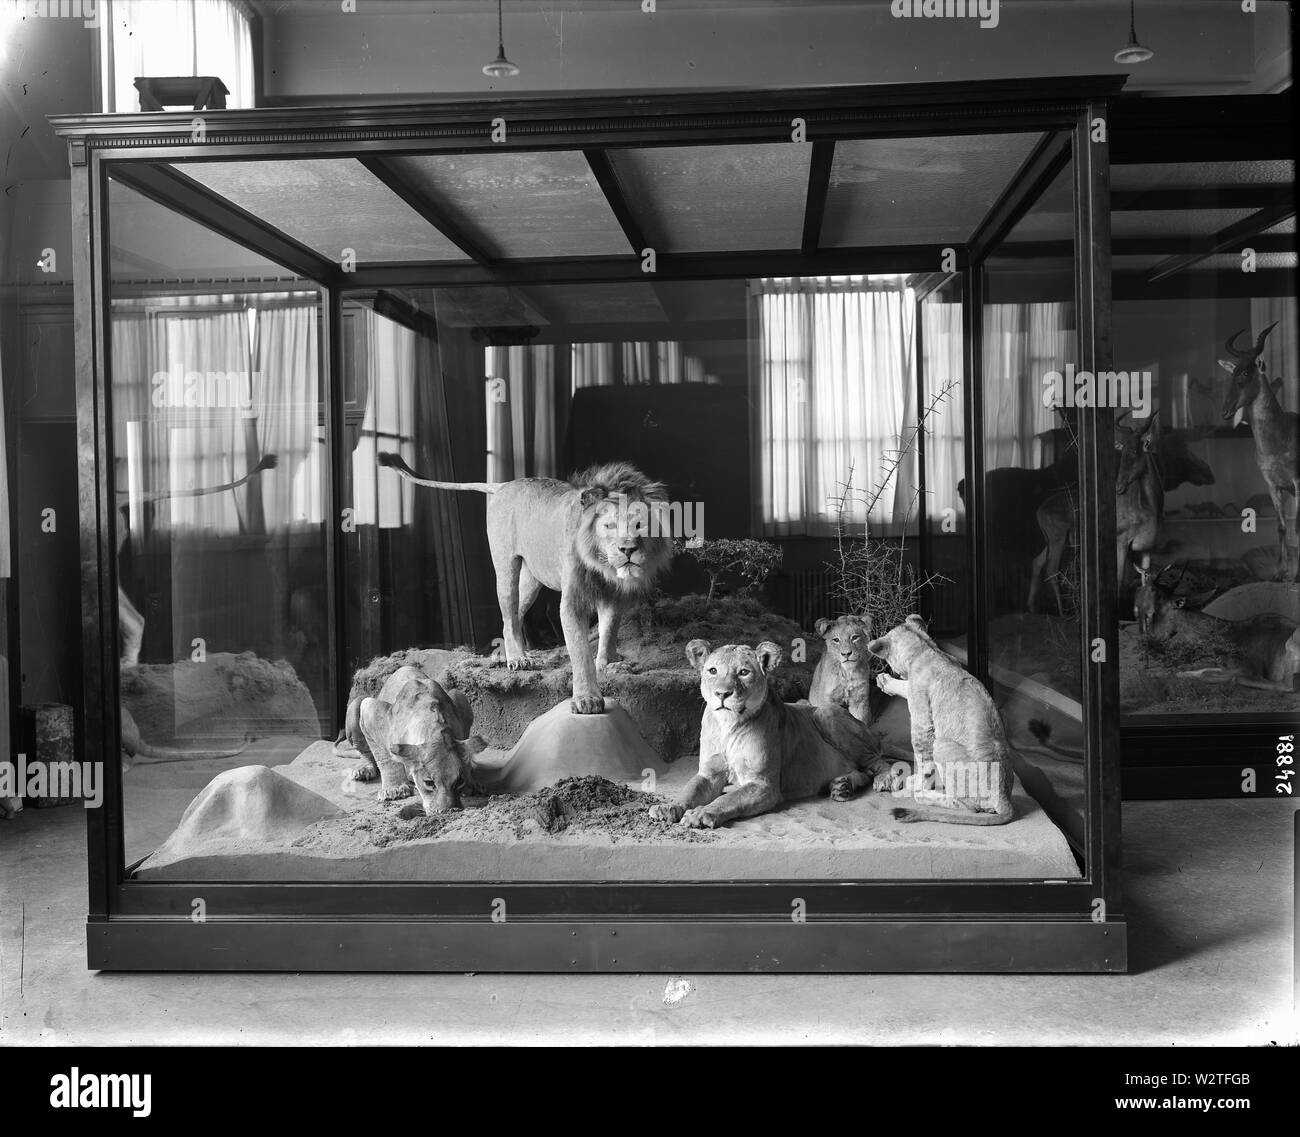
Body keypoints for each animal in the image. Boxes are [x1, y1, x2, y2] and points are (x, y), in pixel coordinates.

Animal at [374, 452, 665, 712]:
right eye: (608, 526)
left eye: (640, 525)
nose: (628, 549)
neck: (601, 566)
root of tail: (505, 484)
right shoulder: (571, 603)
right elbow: (580, 652)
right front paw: (587, 699)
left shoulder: (613, 596)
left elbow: (609, 631)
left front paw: (609, 663)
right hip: (506, 569)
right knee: (508, 615)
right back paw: (517, 659)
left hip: (531, 581)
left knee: (514, 615)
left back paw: (513, 653)